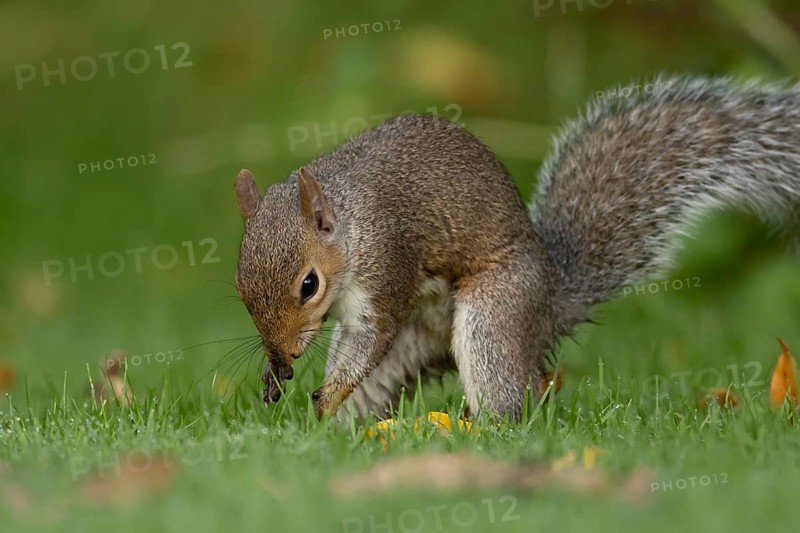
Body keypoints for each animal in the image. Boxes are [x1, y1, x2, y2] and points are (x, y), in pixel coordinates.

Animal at [233, 76, 800, 421]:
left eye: (309, 285)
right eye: (240, 288)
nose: (282, 357)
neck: (350, 223)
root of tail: (552, 299)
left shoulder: (388, 261)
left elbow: (371, 337)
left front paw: (325, 390)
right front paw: (277, 381)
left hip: (494, 315)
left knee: (504, 394)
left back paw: (479, 431)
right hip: (416, 346)